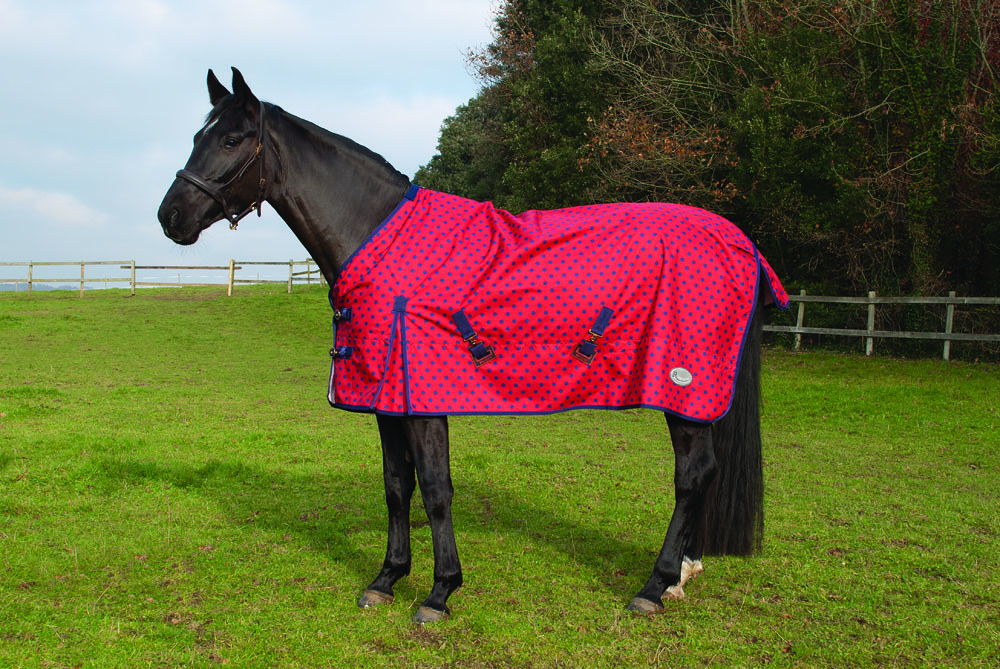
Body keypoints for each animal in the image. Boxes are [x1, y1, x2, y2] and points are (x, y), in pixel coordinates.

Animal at [158, 68, 788, 624]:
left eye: (232, 138)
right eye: (195, 136)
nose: (171, 217)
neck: (379, 237)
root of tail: (742, 242)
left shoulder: (424, 398)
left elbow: (436, 490)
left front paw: (440, 593)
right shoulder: (388, 401)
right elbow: (396, 487)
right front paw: (386, 579)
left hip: (684, 389)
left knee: (693, 476)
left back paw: (655, 586)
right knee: (701, 476)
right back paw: (683, 573)